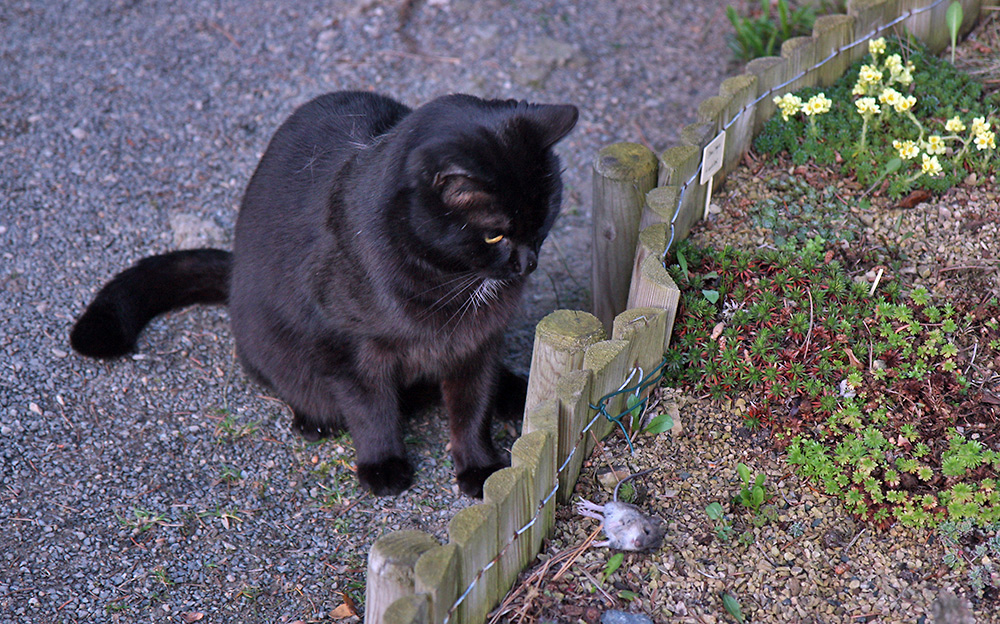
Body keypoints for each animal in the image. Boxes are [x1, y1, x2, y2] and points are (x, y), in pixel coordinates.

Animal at [72, 91, 580, 498]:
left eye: (544, 218)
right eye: (495, 235)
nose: (528, 263)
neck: (449, 284)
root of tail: (233, 272)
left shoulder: (477, 343)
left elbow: (472, 408)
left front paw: (482, 469)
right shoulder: (344, 347)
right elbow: (370, 409)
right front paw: (383, 467)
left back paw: (514, 390)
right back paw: (313, 420)